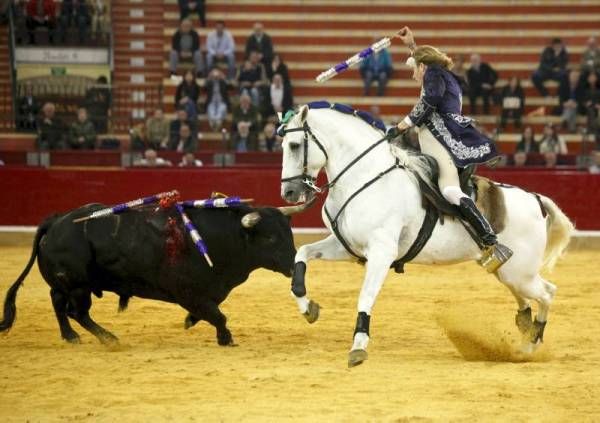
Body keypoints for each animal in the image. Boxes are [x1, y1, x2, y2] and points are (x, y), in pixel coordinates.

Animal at [0, 204, 300, 346]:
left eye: (288, 233)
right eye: (271, 237)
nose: (294, 264)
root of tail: (56, 221)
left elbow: (210, 311)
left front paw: (191, 321)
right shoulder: (187, 291)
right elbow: (218, 315)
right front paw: (225, 338)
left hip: (68, 283)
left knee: (57, 301)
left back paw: (71, 337)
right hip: (79, 286)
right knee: (77, 311)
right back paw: (109, 339)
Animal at [278, 103, 576, 368]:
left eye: (294, 145)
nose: (289, 193)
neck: (365, 177)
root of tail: (535, 199)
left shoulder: (381, 252)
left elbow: (365, 295)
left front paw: (358, 347)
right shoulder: (348, 247)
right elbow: (302, 254)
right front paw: (307, 307)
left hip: (520, 272)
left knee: (547, 292)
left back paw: (528, 347)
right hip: (507, 271)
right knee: (529, 296)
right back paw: (525, 328)